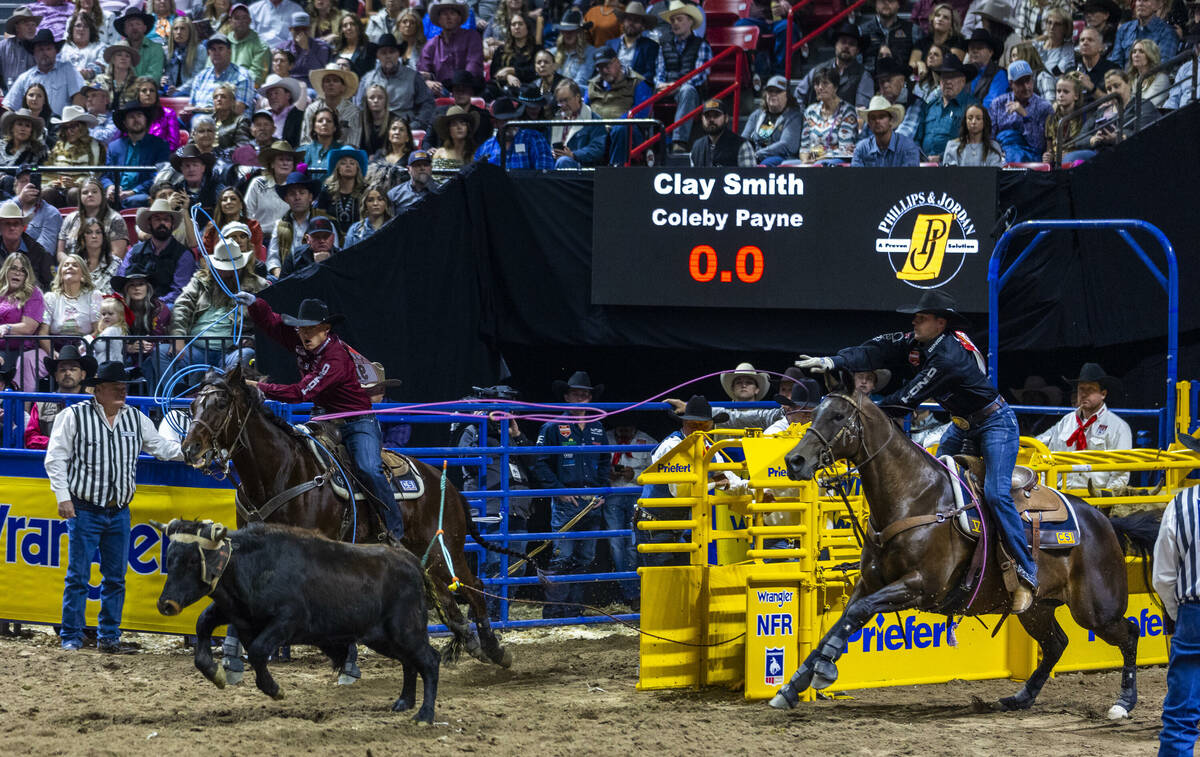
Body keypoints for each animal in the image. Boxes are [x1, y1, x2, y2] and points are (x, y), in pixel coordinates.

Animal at [180, 364, 513, 667]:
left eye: (221, 403)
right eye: (193, 405)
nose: (190, 448)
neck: (281, 470)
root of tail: (449, 487)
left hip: (445, 551)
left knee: (474, 587)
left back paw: (495, 649)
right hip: (426, 557)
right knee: (447, 597)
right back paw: (470, 641)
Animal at [763, 391, 1137, 715]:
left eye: (838, 416)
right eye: (815, 412)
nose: (794, 460)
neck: (916, 497)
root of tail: (1104, 521)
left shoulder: (920, 585)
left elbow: (857, 613)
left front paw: (824, 668)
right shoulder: (870, 583)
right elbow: (845, 619)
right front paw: (792, 687)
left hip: (1096, 610)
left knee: (1129, 634)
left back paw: (1124, 702)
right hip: (1037, 609)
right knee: (1056, 643)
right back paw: (1021, 697)